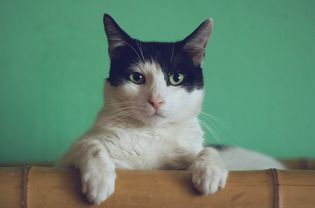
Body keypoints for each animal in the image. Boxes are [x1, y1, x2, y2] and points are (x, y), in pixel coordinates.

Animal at [59, 13, 286, 205]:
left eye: (176, 78)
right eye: (136, 77)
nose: (156, 100)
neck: (150, 135)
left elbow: (206, 150)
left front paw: (210, 172)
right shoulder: (64, 160)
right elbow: (89, 145)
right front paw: (99, 180)